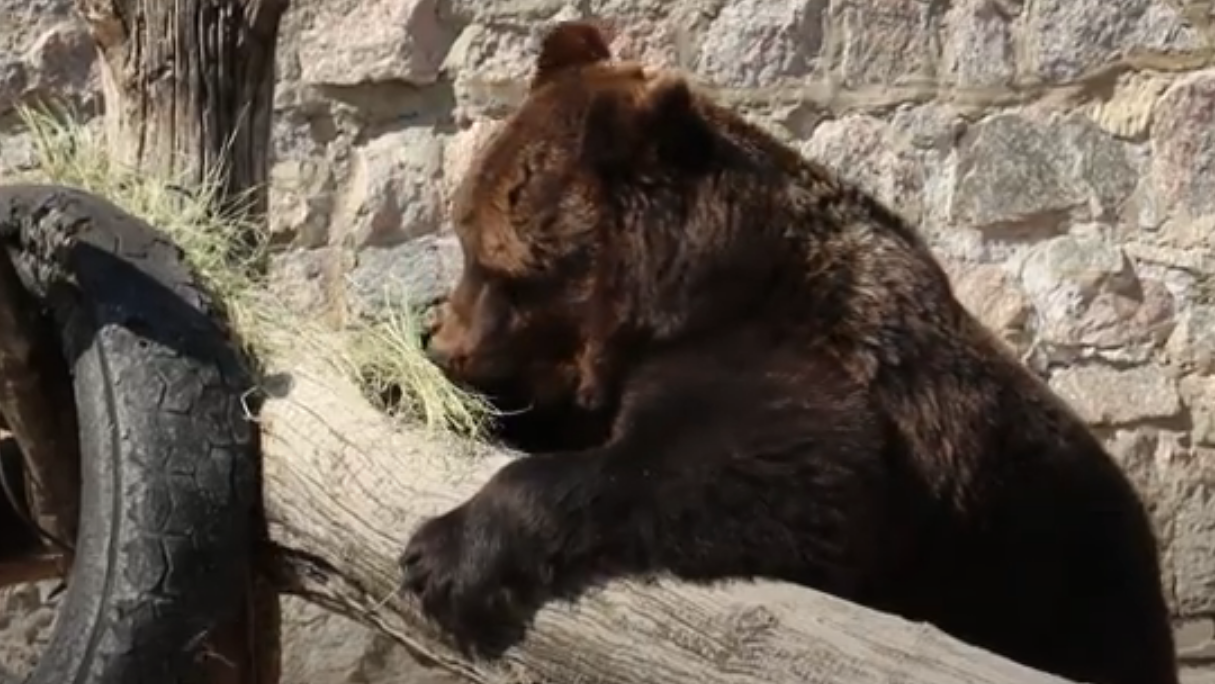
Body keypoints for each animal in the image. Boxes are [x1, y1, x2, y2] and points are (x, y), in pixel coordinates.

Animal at [403, 20, 1180, 684]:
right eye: (467, 238)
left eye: (499, 267)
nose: (447, 345)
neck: (685, 293)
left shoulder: (808, 371)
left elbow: (760, 465)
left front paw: (445, 554)